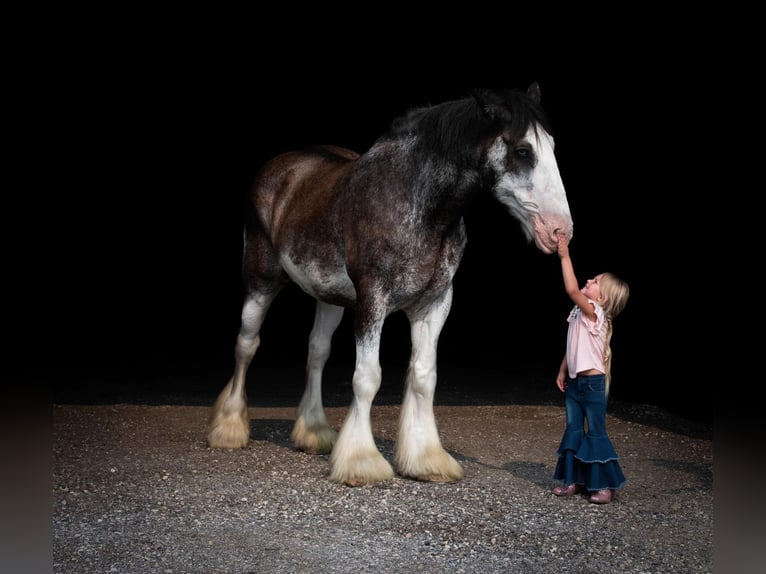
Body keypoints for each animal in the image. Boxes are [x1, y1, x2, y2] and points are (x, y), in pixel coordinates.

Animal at [207, 84, 572, 486]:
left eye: (553, 146)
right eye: (523, 151)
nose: (560, 231)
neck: (415, 203)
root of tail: (281, 167)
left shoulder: (434, 304)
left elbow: (424, 376)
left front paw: (427, 460)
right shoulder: (373, 300)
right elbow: (367, 377)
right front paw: (360, 462)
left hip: (329, 297)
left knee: (316, 352)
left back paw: (315, 433)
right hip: (260, 282)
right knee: (246, 345)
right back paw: (228, 430)